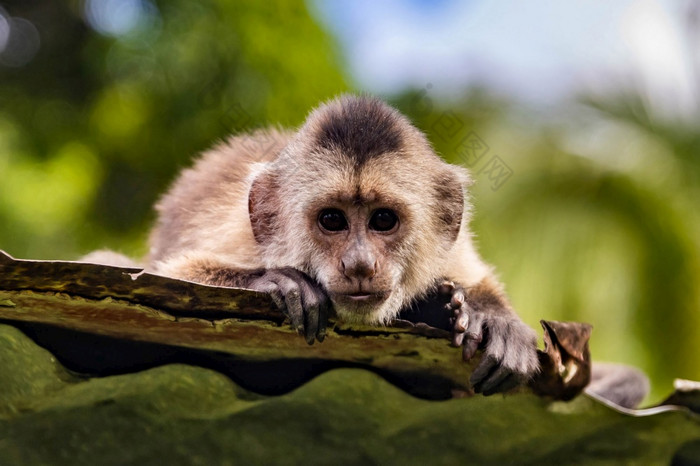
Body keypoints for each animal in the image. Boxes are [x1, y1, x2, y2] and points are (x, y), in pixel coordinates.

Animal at [145, 95, 540, 396]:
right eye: (332, 220)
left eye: (383, 220)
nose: (360, 264)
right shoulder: (243, 234)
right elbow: (167, 275)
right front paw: (277, 281)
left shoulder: (451, 248)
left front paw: (491, 316)